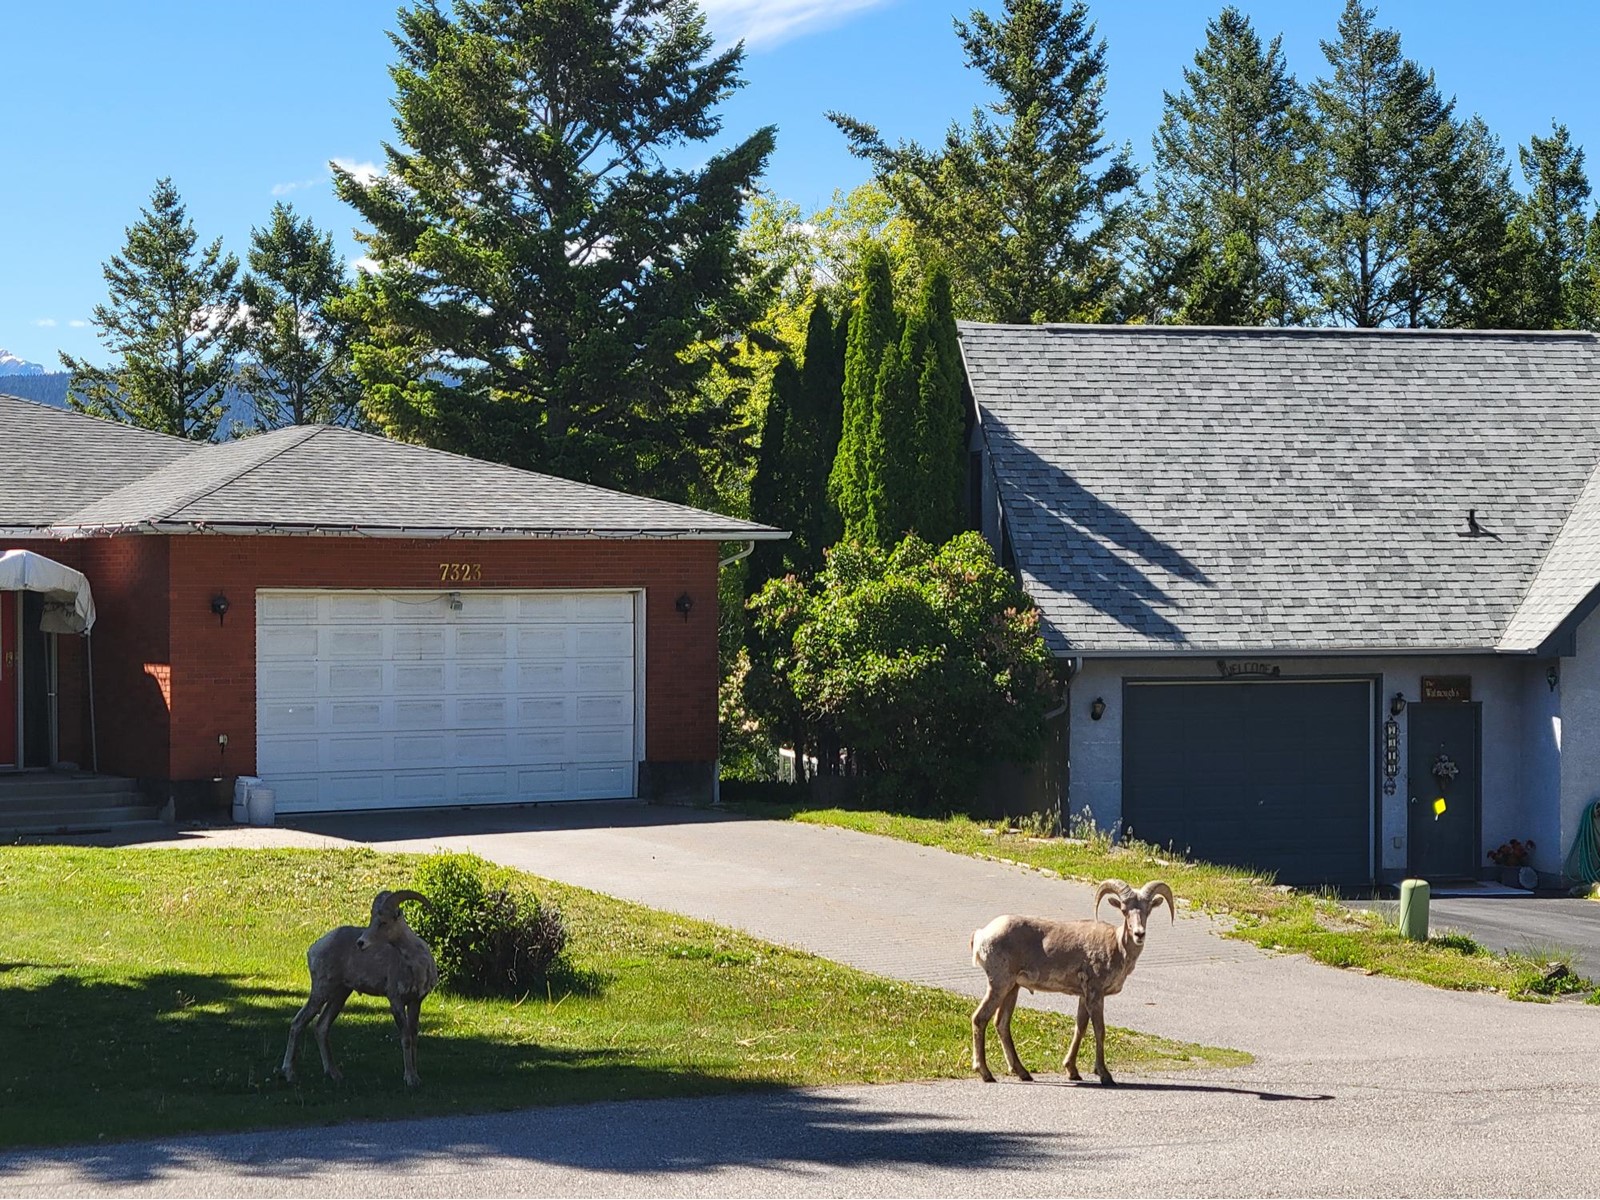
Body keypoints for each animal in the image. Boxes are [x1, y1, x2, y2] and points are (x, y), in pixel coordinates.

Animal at [278, 896, 435, 1088]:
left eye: (383, 922)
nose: (361, 943)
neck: (415, 965)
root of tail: (313, 949)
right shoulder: (396, 1002)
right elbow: (406, 1038)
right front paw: (410, 1079)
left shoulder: (415, 1001)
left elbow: (413, 1037)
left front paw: (416, 1076)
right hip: (321, 991)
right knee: (298, 1023)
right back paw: (289, 1074)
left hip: (340, 995)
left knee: (321, 1027)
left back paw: (335, 1074)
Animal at [960, 876, 1177, 1088]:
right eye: (1124, 910)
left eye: (1148, 910)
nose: (1139, 934)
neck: (1117, 947)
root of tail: (981, 934)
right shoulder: (1095, 994)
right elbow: (1099, 1030)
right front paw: (1105, 1075)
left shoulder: (1083, 996)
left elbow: (1080, 1028)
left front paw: (1073, 1071)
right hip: (999, 984)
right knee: (980, 1018)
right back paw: (986, 1073)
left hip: (1012, 988)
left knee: (1002, 1023)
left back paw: (1023, 1073)